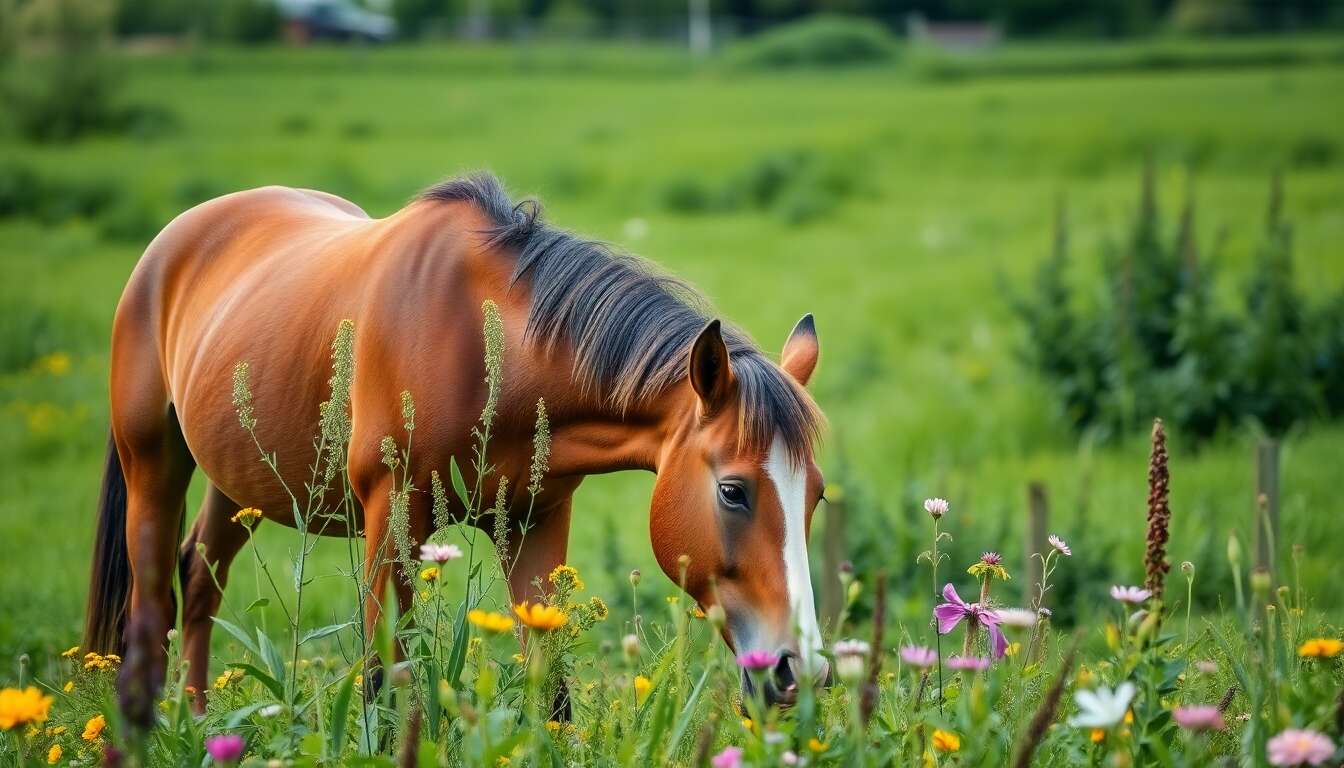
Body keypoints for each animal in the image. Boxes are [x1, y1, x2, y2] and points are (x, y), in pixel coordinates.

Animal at [83, 172, 827, 715]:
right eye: (732, 490)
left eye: (815, 497)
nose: (800, 669)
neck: (481, 342)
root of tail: (174, 240)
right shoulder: (390, 519)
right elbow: (383, 683)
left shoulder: (534, 520)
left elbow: (549, 689)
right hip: (154, 468)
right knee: (151, 610)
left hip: (240, 486)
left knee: (197, 582)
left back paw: (203, 723)